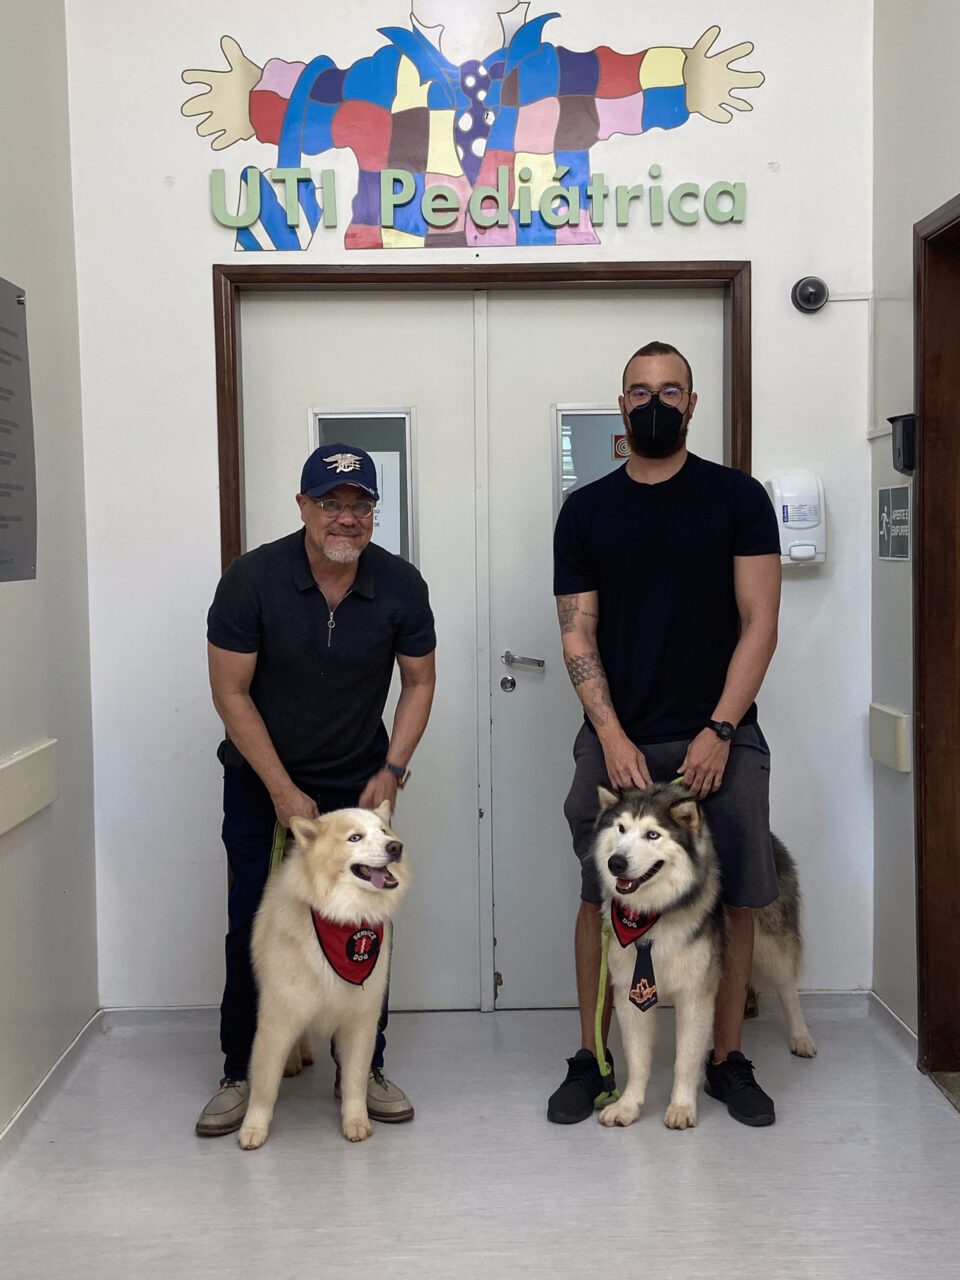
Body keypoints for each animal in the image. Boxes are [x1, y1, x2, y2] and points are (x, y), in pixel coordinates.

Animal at [240, 798, 409, 1152]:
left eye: (384, 832)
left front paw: (356, 1122)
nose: (395, 847)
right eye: (355, 838)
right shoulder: (279, 1016)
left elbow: (355, 1077)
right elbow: (264, 1083)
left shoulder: (360, 1020)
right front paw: (254, 1128)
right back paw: (294, 1060)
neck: (345, 918)